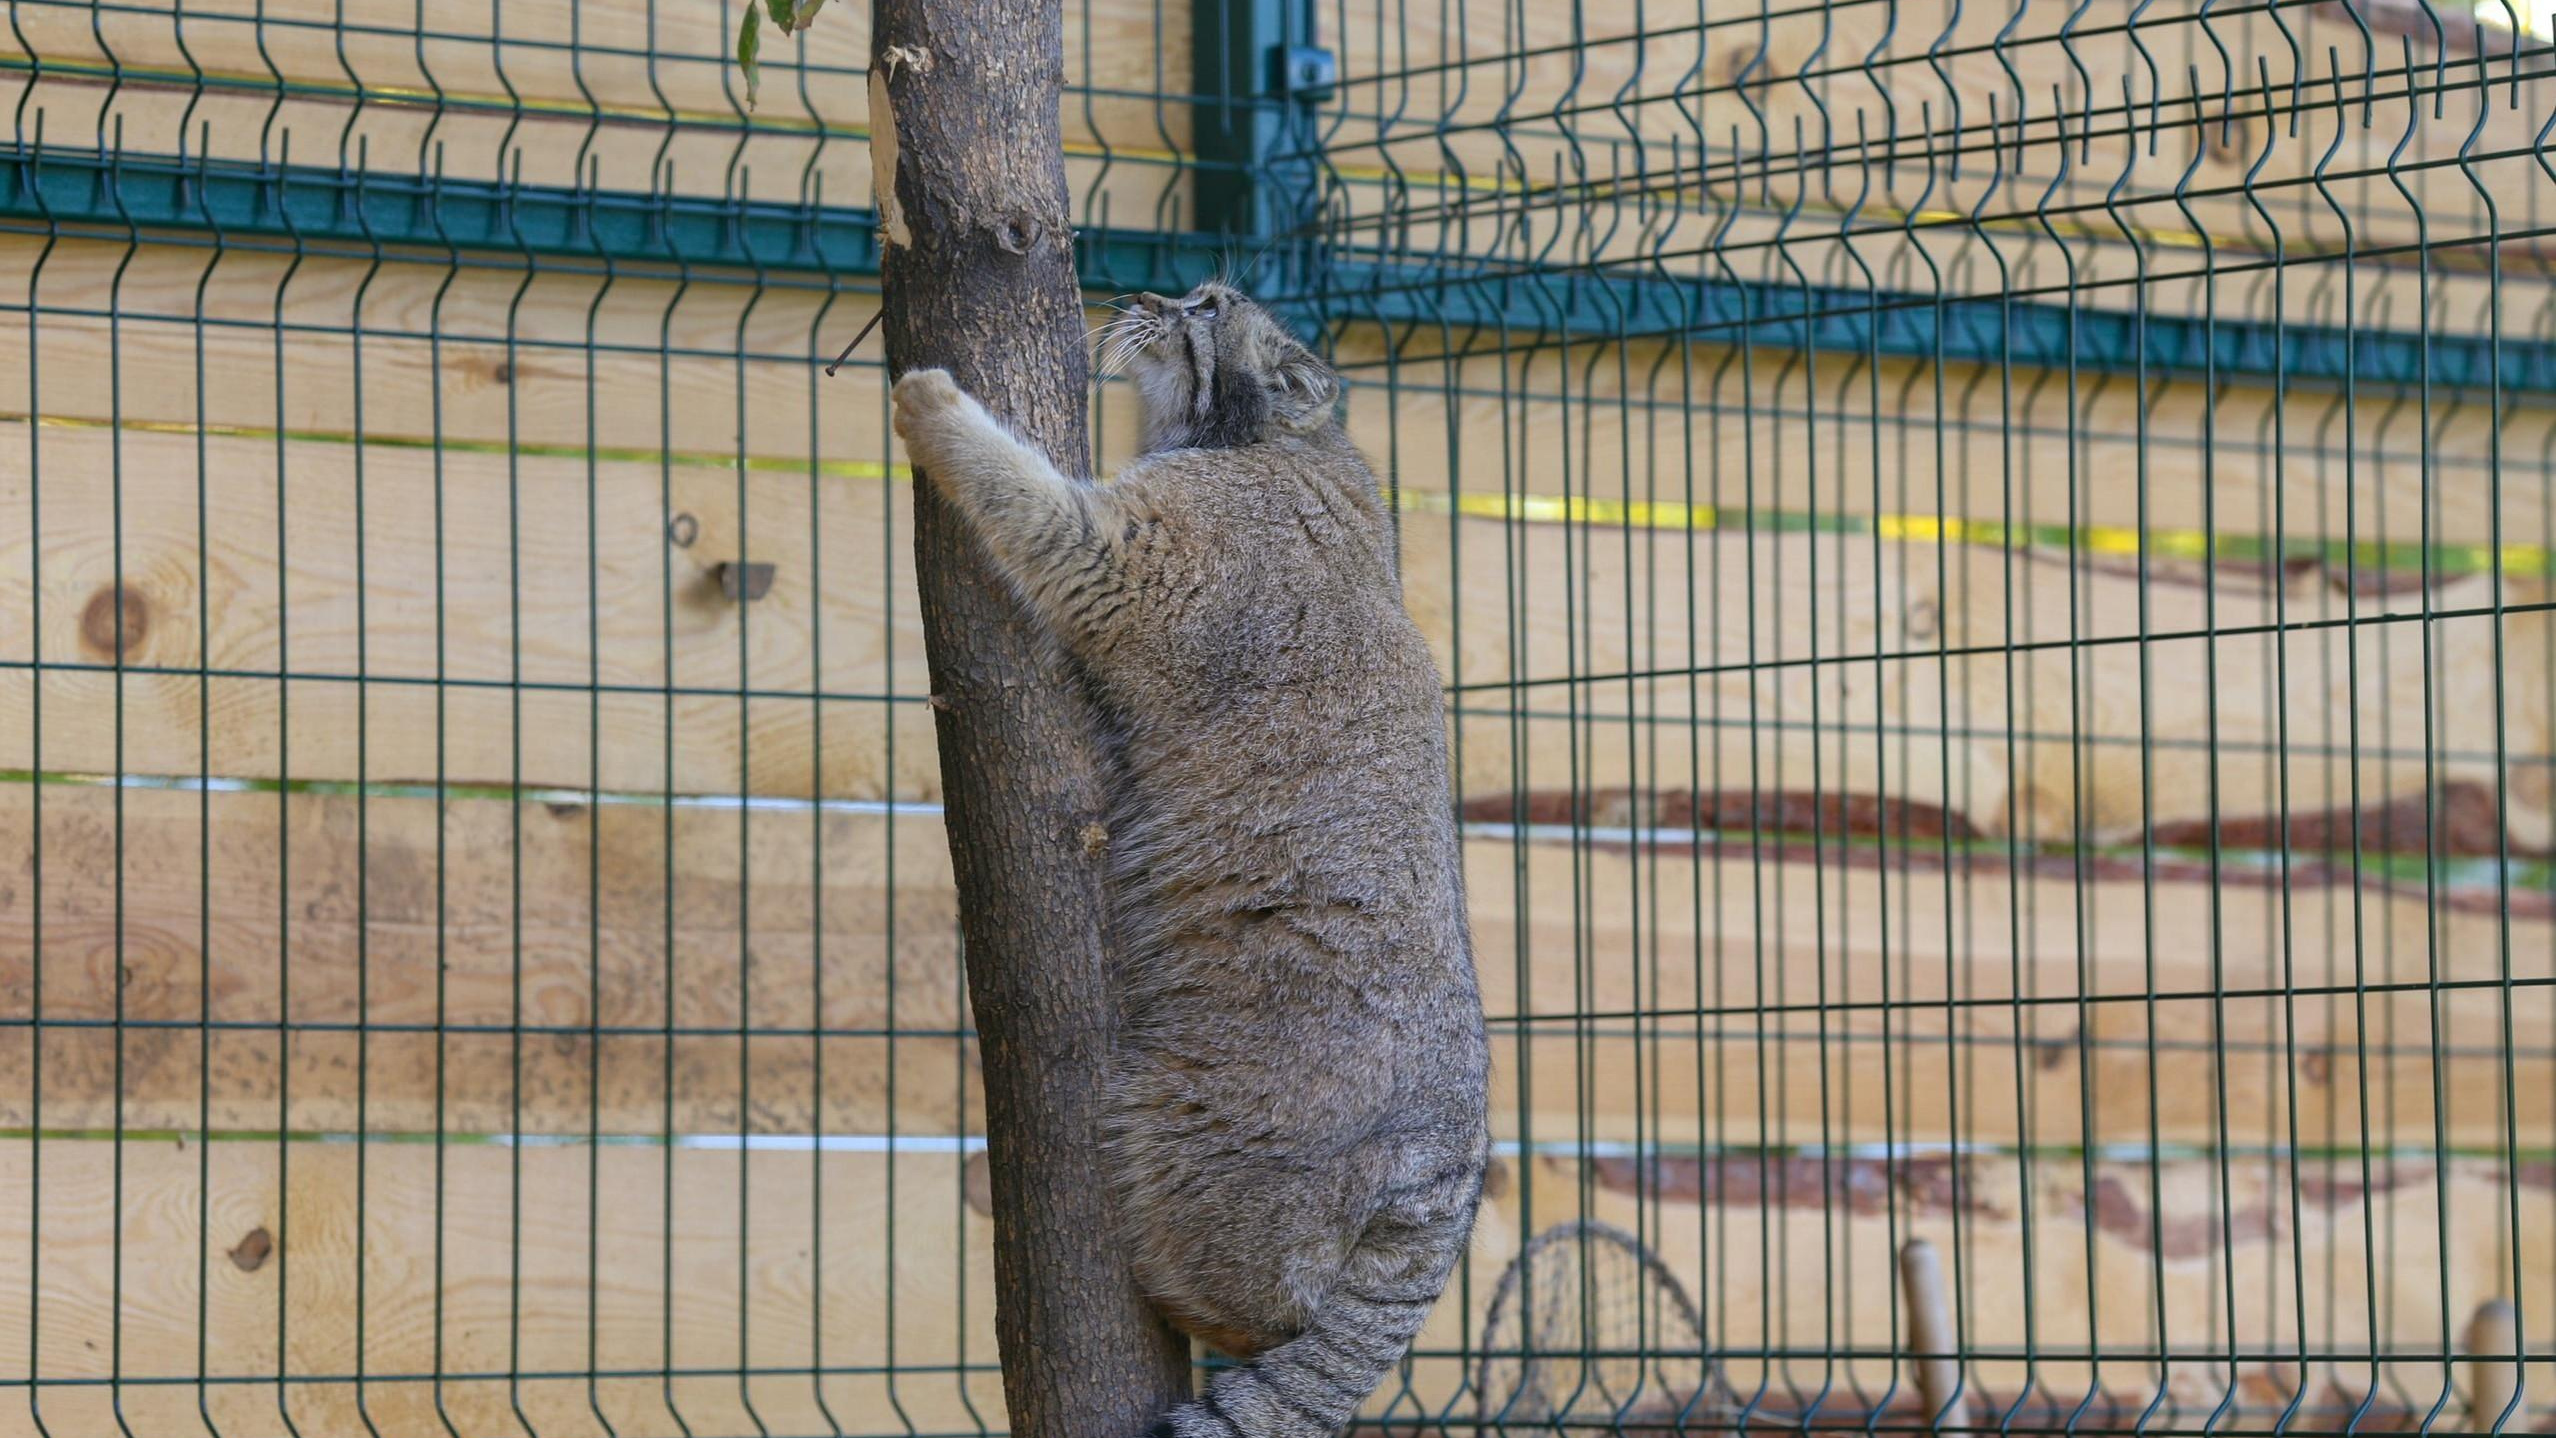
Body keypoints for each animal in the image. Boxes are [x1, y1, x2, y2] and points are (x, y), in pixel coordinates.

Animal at [899, 280, 1492, 1438]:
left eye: (1206, 306)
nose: (1143, 293)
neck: (1282, 441)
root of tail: (1449, 1178)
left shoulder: (1144, 557)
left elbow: (1033, 496)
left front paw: (939, 411)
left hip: (1205, 1149)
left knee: (1260, 1291)